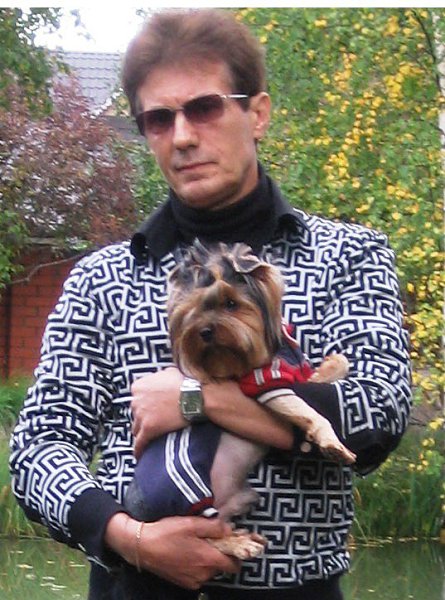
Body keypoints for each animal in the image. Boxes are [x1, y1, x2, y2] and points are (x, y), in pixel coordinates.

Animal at [125, 240, 355, 561]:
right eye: (193, 311)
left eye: (231, 304)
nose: (205, 331)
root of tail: (137, 513)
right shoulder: (264, 386)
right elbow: (309, 412)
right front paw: (334, 445)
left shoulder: (288, 376)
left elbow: (324, 375)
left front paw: (330, 366)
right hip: (188, 496)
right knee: (199, 536)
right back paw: (239, 545)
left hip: (240, 498)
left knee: (220, 525)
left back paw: (242, 537)